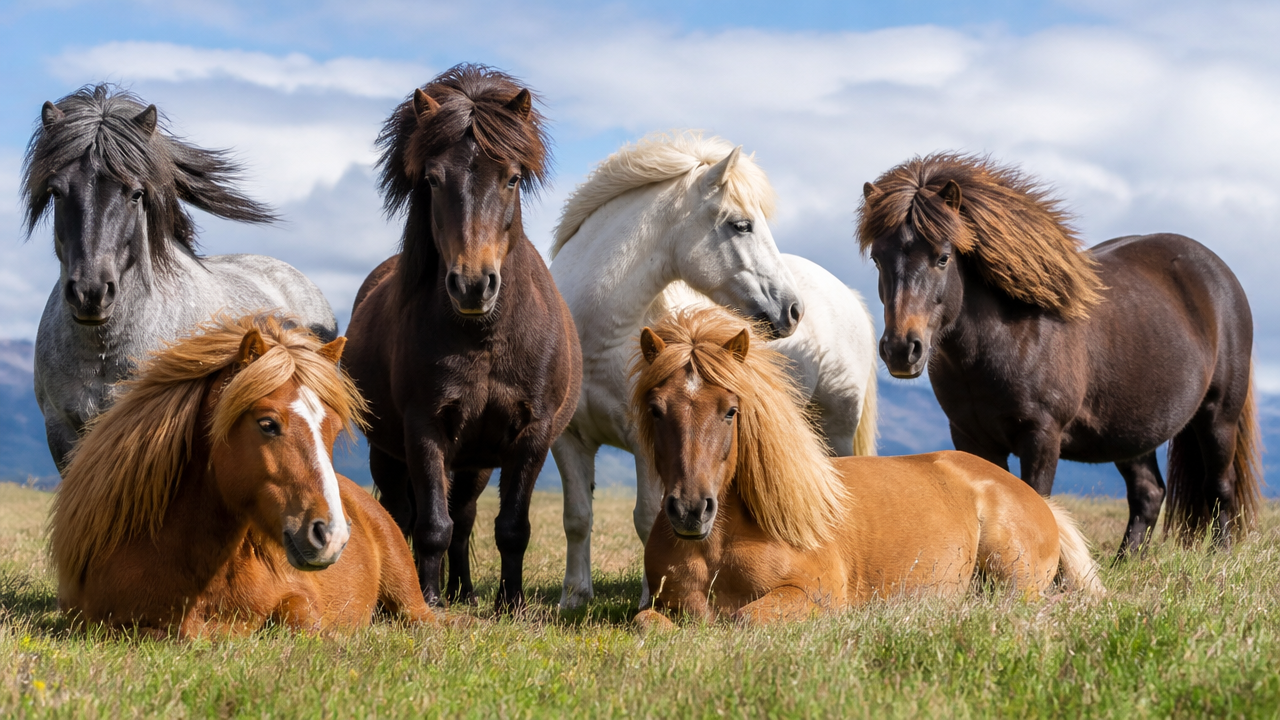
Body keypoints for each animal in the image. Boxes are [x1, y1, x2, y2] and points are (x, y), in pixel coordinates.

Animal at [48, 314, 434, 638]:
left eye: (335, 430)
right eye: (268, 424)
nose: (332, 535)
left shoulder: (302, 598)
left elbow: (298, 618)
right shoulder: (96, 622)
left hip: (410, 600)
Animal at [344, 65, 581, 611]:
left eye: (512, 177)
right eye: (432, 180)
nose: (473, 284)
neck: (485, 340)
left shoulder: (532, 436)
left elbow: (511, 527)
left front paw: (510, 603)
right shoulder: (424, 429)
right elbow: (431, 524)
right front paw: (429, 600)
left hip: (474, 462)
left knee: (466, 517)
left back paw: (467, 593)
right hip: (389, 454)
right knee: (404, 514)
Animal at [549, 132, 879, 610]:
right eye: (741, 225)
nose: (793, 310)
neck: (598, 335)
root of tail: (847, 294)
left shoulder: (644, 443)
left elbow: (647, 516)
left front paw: (651, 598)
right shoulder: (569, 439)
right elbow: (577, 517)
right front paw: (574, 598)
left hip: (839, 427)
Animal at [629, 307, 1104, 627]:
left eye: (730, 411)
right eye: (655, 409)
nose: (691, 510)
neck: (719, 547)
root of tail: (1039, 503)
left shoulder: (814, 596)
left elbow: (744, 618)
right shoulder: (661, 607)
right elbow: (644, 623)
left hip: (1014, 579)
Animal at [859, 153, 1262, 556]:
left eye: (942, 258)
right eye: (877, 259)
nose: (901, 349)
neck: (1006, 338)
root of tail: (1218, 273)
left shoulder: (1042, 436)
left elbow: (1036, 501)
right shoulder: (970, 437)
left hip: (1218, 417)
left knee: (1220, 486)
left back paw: (1220, 557)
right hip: (1132, 429)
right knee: (1148, 492)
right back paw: (1126, 561)